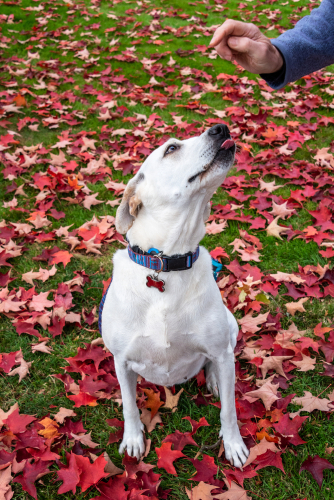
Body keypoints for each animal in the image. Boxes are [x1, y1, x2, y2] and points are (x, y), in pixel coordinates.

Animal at [100, 123, 249, 466]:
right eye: (171, 149)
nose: (221, 127)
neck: (167, 263)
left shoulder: (220, 350)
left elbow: (230, 411)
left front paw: (233, 444)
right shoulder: (121, 361)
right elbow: (129, 407)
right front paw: (133, 439)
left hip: (230, 328)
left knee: (220, 363)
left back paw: (214, 379)